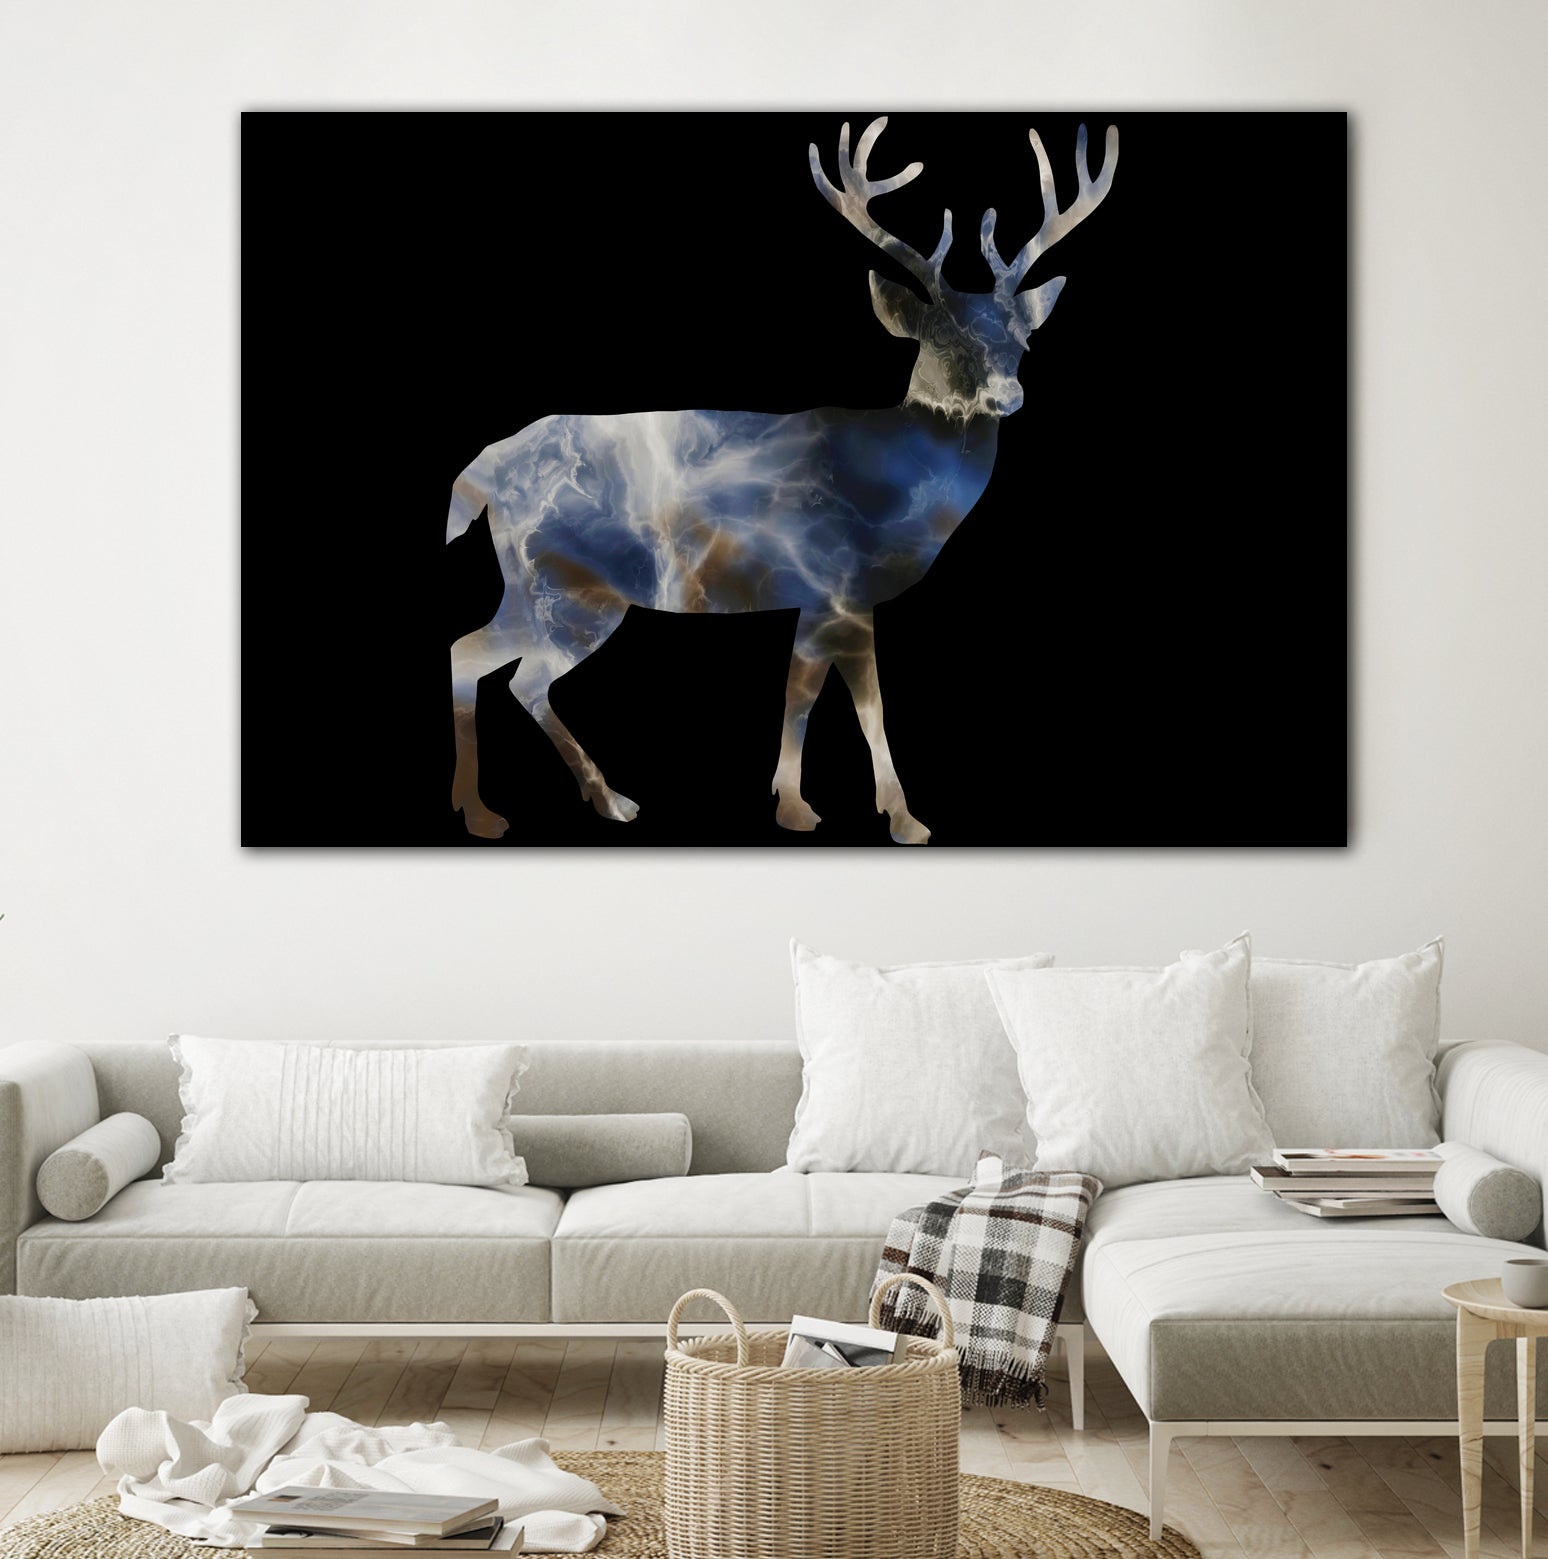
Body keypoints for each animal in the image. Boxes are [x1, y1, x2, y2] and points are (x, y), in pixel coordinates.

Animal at [446, 116, 1117, 842]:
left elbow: (801, 693)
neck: (895, 488)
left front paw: (796, 802)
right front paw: (894, 816)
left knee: (476, 655)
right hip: (570, 587)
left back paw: (540, 803)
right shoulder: (840, 585)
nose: (1008, 394)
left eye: (1023, 340)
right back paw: (548, 806)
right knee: (518, 675)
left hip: (533, 585)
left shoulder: (818, 598)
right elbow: (857, 704)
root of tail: (483, 472)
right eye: (941, 338)